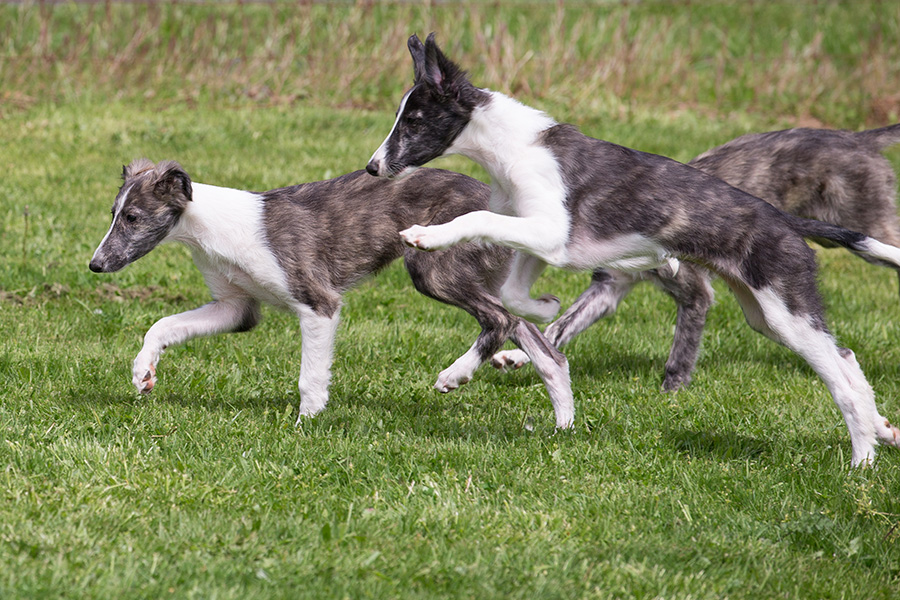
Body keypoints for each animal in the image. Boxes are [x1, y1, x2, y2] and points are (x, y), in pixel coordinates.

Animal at [88, 161, 572, 426]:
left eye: (132, 217)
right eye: (113, 213)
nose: (95, 265)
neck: (212, 227)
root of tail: (508, 210)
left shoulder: (318, 303)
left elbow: (311, 377)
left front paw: (307, 423)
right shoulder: (236, 308)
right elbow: (162, 325)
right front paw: (143, 371)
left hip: (432, 267)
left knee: (502, 320)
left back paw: (456, 374)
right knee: (541, 343)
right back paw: (563, 423)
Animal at [488, 123, 900, 394]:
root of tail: (856, 138)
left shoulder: (695, 293)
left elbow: (682, 348)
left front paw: (672, 391)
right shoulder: (608, 288)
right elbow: (561, 326)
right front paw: (518, 356)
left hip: (871, 225)